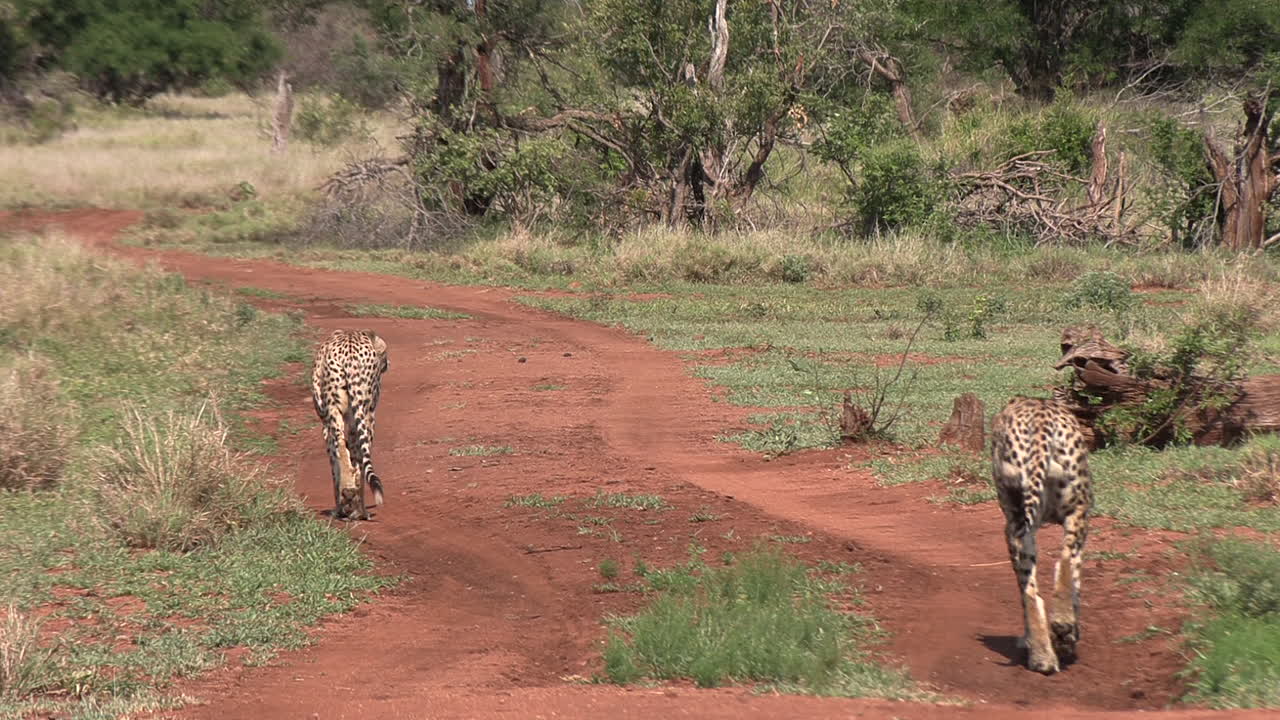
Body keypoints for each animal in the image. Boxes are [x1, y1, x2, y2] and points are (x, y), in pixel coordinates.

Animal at [311, 329, 389, 521]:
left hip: (336, 412)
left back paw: (347, 496)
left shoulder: (326, 424)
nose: (387, 363)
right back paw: (358, 507)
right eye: (384, 352)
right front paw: (356, 508)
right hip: (363, 413)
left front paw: (342, 506)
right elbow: (357, 458)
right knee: (356, 454)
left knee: (340, 445)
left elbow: (338, 461)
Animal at [991, 396, 1094, 674]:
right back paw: (1058, 629)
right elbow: (1074, 574)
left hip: (1021, 523)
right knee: (1063, 561)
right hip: (1076, 509)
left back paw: (1043, 656)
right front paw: (1067, 636)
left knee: (1030, 588)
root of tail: (1039, 413)